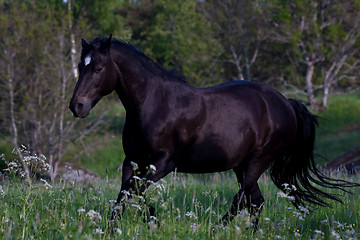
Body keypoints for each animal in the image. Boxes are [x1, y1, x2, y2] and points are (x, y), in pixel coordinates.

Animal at [69, 34, 358, 228]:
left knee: (242, 200)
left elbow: (134, 191)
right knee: (255, 201)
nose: (77, 106)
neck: (155, 104)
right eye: (80, 67)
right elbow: (126, 194)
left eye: (98, 68)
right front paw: (124, 226)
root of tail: (286, 103)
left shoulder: (163, 163)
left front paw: (153, 223)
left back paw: (216, 228)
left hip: (258, 161)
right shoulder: (133, 161)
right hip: (241, 166)